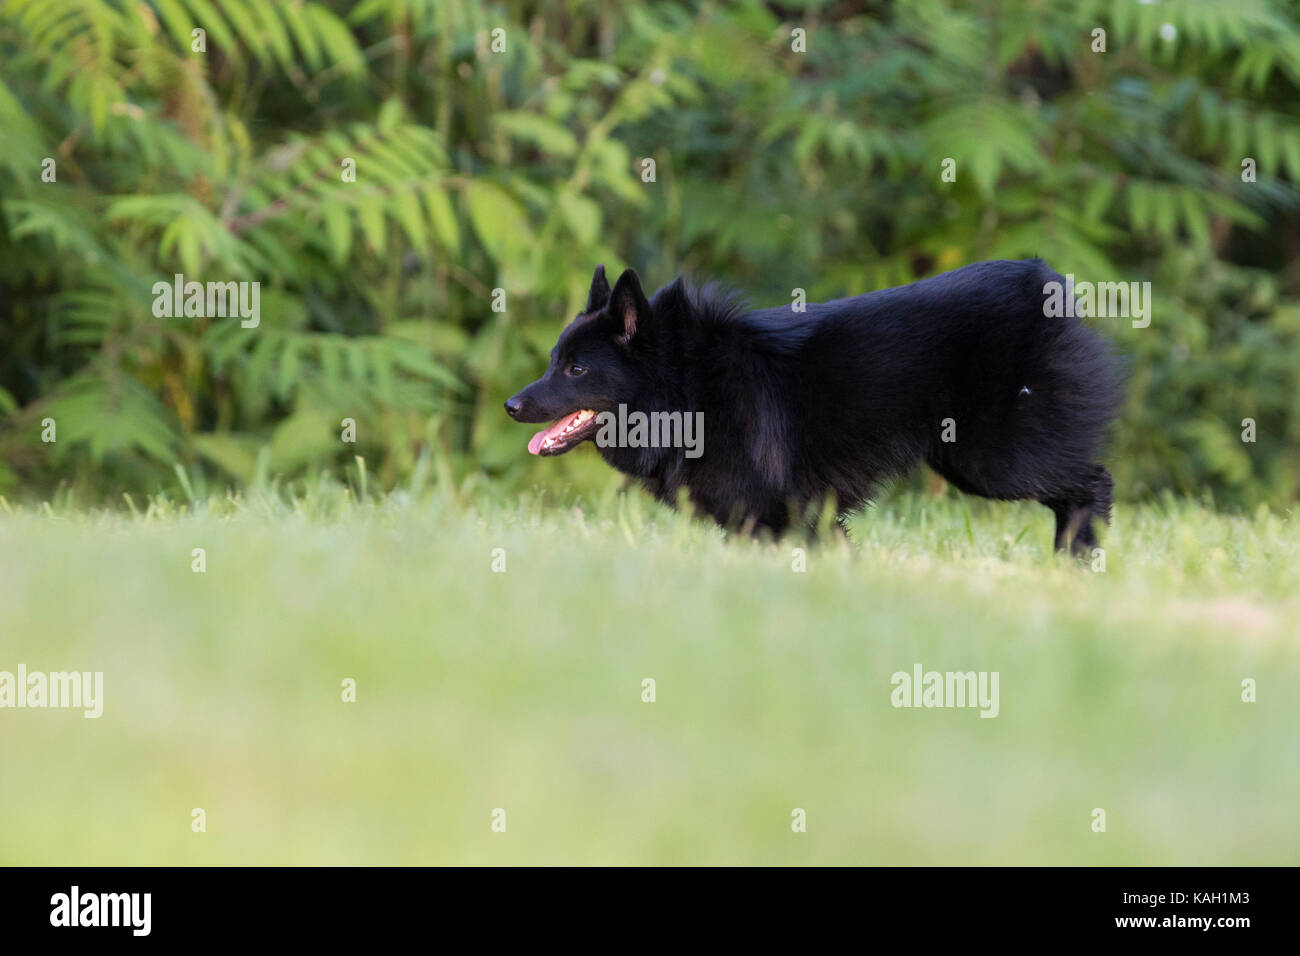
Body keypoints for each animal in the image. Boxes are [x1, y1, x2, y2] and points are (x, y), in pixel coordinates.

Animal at [506, 261, 1128, 554]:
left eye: (577, 370)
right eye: (554, 360)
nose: (512, 405)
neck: (685, 388)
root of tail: (1045, 282)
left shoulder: (774, 511)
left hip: (994, 461)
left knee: (1092, 484)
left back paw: (1079, 560)